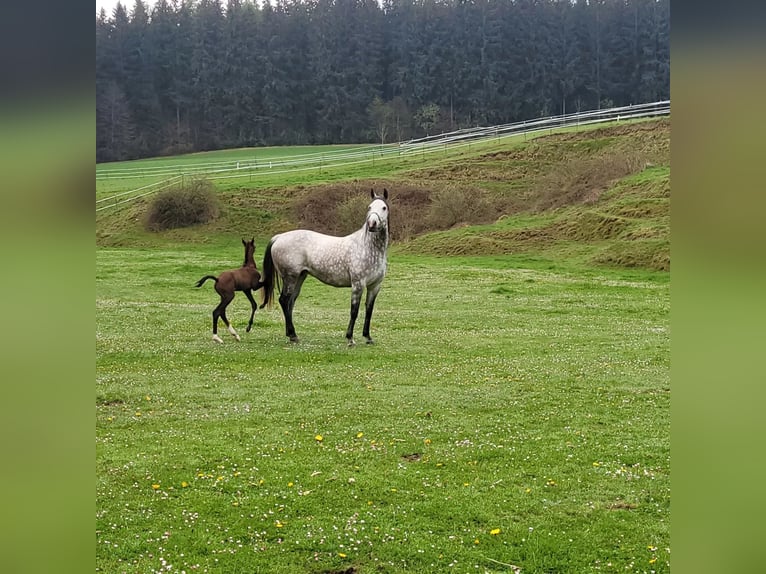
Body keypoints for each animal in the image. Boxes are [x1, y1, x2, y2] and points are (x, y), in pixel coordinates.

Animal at [261, 188, 390, 346]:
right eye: (369, 207)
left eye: (384, 207)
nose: (372, 224)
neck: (367, 247)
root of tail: (278, 237)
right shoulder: (358, 284)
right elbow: (354, 311)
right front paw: (350, 338)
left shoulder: (374, 286)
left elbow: (369, 310)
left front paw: (368, 337)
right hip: (290, 277)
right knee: (284, 301)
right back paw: (293, 335)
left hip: (300, 277)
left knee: (290, 302)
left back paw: (291, 335)